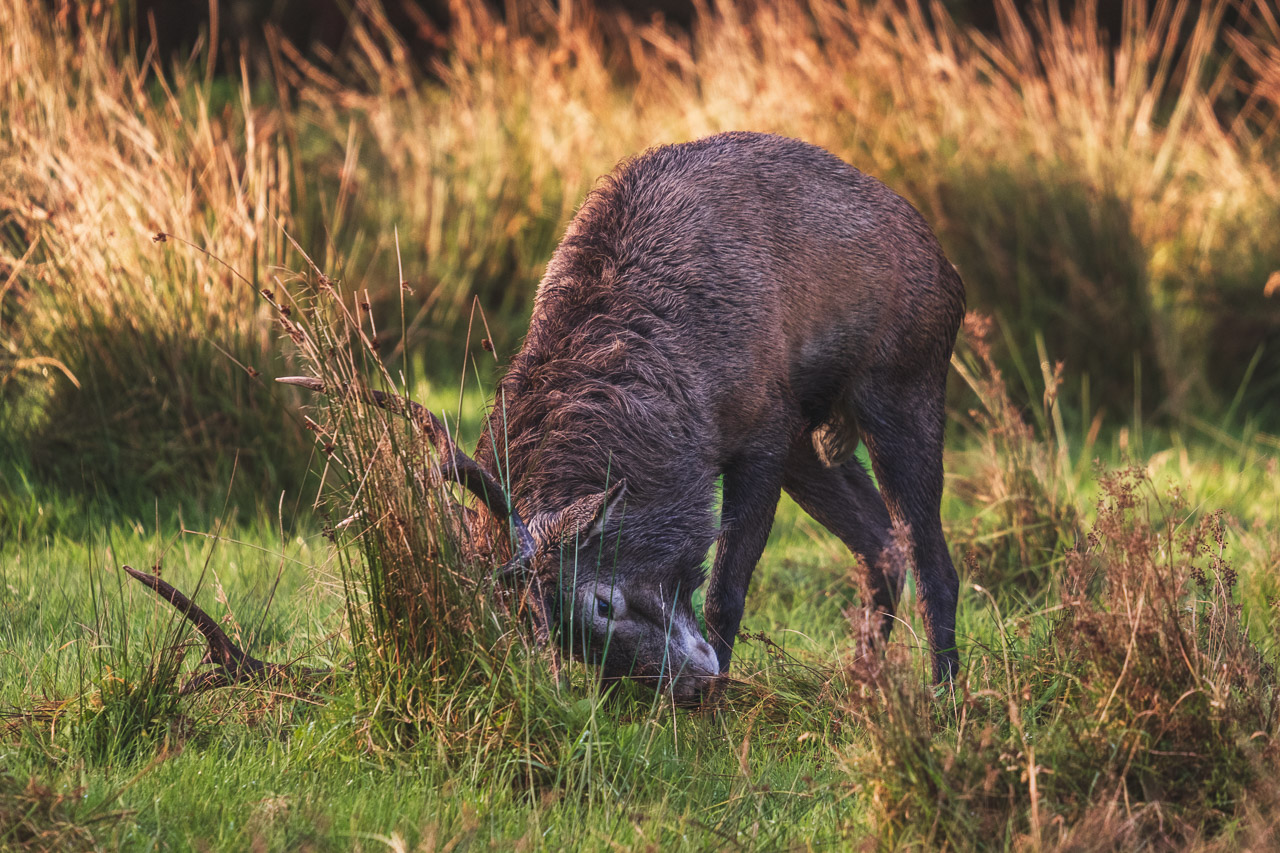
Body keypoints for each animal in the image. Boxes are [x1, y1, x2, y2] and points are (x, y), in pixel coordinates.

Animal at [129, 132, 965, 704]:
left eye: (600, 600)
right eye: (555, 638)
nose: (691, 687)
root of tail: (947, 265)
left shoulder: (762, 426)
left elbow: (726, 584)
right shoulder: (781, 433)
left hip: (901, 386)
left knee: (930, 556)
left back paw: (944, 694)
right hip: (815, 443)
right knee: (880, 544)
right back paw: (867, 681)